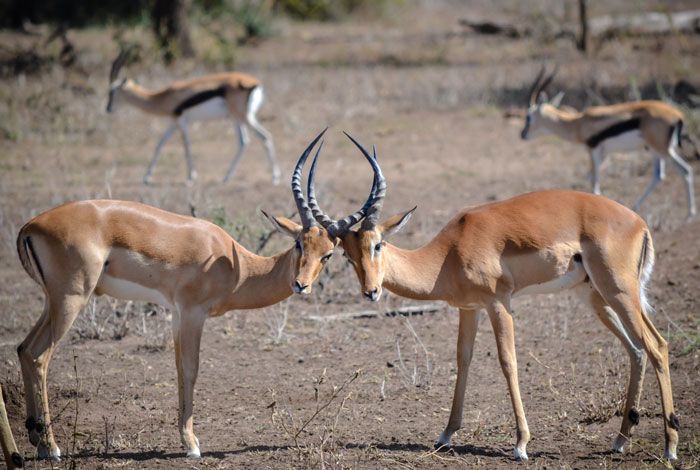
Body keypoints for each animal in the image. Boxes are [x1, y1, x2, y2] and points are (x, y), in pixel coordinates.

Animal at [15, 129, 366, 458]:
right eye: (298, 244)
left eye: (327, 254)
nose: (300, 284)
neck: (234, 264)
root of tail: (30, 225)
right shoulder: (194, 313)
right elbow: (191, 369)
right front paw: (192, 444)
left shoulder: (176, 313)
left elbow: (178, 367)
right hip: (72, 299)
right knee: (40, 357)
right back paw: (51, 447)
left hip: (53, 302)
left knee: (23, 349)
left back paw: (34, 437)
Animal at [105, 50, 278, 185]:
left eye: (112, 91)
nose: (108, 109)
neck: (163, 97)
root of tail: (254, 83)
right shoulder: (173, 122)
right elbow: (160, 144)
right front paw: (146, 177)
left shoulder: (181, 121)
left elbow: (186, 145)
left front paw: (190, 177)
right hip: (236, 119)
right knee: (243, 142)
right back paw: (226, 177)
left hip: (244, 117)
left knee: (265, 136)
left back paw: (275, 178)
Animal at [306, 134, 680, 460]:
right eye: (347, 256)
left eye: (377, 245)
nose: (371, 291)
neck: (450, 251)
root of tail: (638, 221)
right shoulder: (469, 309)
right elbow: (463, 359)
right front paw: (445, 434)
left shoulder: (499, 303)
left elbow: (507, 361)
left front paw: (521, 444)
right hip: (596, 297)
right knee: (636, 350)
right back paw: (620, 441)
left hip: (619, 291)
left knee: (657, 345)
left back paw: (670, 447)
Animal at [520, 65, 696, 218]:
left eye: (528, 116)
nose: (522, 134)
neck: (578, 124)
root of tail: (677, 116)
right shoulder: (603, 153)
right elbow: (589, 178)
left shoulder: (594, 150)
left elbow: (594, 184)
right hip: (654, 150)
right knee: (659, 175)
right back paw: (635, 207)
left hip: (663, 150)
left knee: (685, 170)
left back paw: (689, 215)